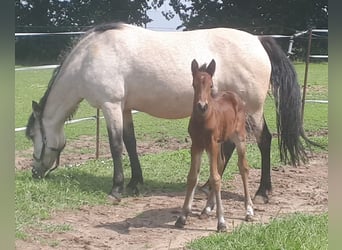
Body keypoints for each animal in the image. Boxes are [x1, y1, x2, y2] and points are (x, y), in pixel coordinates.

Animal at [24, 22, 312, 203]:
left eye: (32, 136)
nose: (35, 172)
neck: (90, 56)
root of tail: (257, 41)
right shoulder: (125, 108)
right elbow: (130, 143)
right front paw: (135, 184)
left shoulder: (111, 105)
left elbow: (115, 146)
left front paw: (117, 189)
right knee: (231, 144)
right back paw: (207, 186)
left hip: (252, 109)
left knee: (264, 141)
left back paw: (263, 192)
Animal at [175, 59, 252, 231]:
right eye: (194, 84)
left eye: (211, 85)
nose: (202, 106)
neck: (203, 120)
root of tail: (233, 95)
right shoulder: (196, 145)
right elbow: (193, 177)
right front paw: (182, 216)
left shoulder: (211, 144)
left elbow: (215, 178)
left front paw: (222, 222)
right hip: (220, 142)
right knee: (221, 163)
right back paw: (207, 208)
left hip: (239, 138)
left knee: (243, 167)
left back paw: (249, 211)